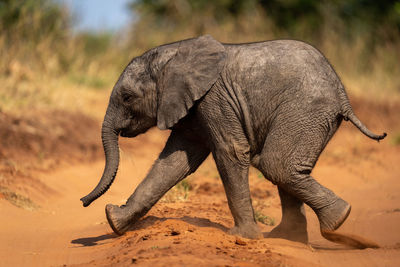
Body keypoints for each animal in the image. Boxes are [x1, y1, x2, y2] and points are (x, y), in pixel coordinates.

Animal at [80, 35, 384, 245]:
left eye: (127, 97)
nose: (83, 202)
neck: (174, 53)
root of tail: (342, 94)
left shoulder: (214, 98)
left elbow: (230, 151)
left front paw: (244, 237)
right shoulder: (193, 107)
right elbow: (174, 163)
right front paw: (114, 221)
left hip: (306, 109)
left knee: (276, 164)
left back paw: (337, 222)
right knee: (284, 167)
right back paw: (292, 236)